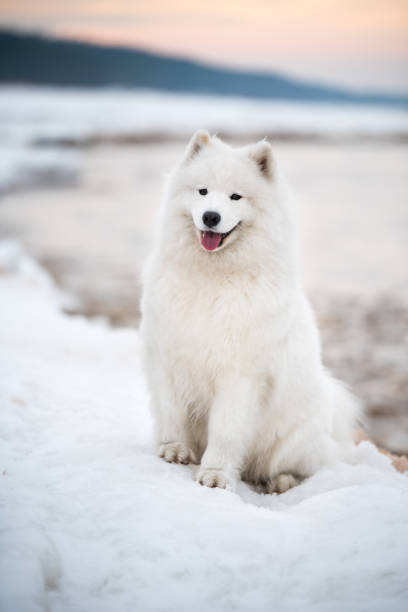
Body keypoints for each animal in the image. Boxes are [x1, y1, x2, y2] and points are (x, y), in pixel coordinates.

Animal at [141, 129, 360, 492]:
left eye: (235, 197)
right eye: (202, 191)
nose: (211, 216)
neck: (213, 278)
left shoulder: (239, 375)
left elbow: (226, 431)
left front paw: (215, 474)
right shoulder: (168, 355)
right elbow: (172, 412)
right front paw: (173, 450)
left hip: (290, 441)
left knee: (301, 468)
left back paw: (280, 482)